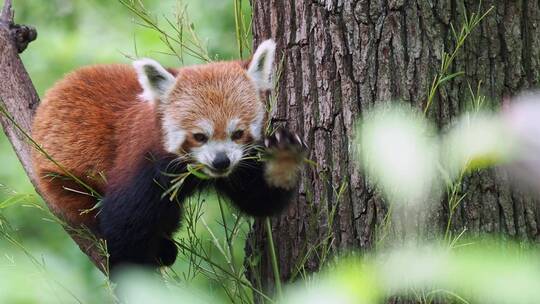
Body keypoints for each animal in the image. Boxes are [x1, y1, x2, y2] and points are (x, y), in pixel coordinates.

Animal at [31, 39, 306, 268]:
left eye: (237, 133)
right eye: (199, 136)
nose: (221, 161)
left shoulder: (238, 166)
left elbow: (260, 198)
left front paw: (283, 153)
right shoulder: (142, 166)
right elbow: (123, 227)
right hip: (63, 180)